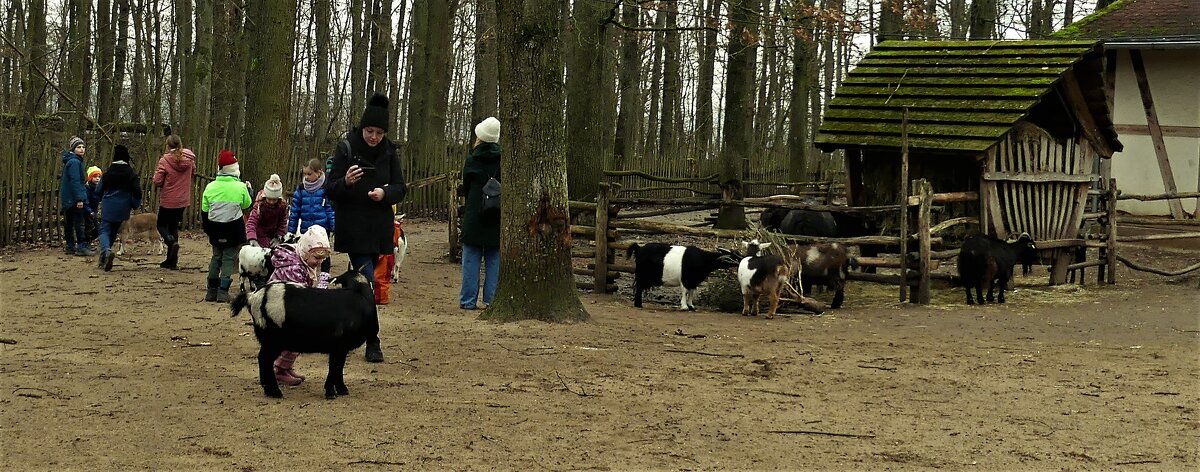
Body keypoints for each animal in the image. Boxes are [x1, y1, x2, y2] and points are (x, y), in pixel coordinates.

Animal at [225, 269, 374, 396]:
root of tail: (253, 297)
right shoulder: (339, 346)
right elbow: (334, 368)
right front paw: (331, 392)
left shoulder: (341, 349)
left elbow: (339, 368)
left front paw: (342, 389)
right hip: (272, 340)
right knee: (265, 360)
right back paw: (274, 391)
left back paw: (268, 389)